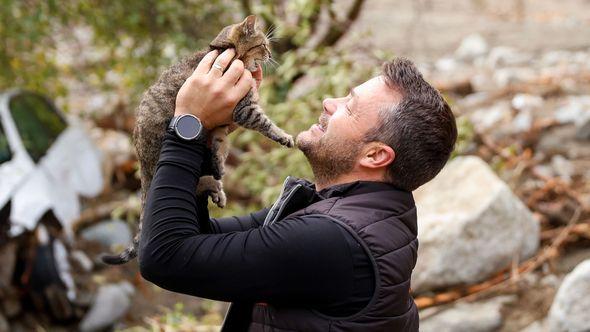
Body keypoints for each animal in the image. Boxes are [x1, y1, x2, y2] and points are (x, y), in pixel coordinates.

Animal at [104, 14, 296, 264]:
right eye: (263, 45)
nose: (271, 55)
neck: (226, 52)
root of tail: (142, 165)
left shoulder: (222, 125)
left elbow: (219, 145)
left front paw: (219, 165)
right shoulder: (244, 109)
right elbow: (266, 124)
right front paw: (284, 136)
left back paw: (216, 188)